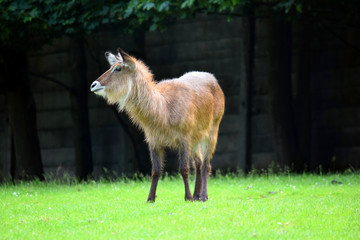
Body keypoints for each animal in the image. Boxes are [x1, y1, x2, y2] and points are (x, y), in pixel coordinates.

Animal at [90, 49, 225, 202]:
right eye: (111, 67)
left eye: (118, 68)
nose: (93, 85)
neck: (163, 108)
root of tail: (213, 79)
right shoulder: (153, 141)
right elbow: (155, 171)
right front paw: (150, 198)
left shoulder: (184, 138)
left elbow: (184, 169)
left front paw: (188, 197)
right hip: (196, 138)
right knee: (199, 162)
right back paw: (197, 195)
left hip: (212, 132)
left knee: (206, 165)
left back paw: (202, 196)